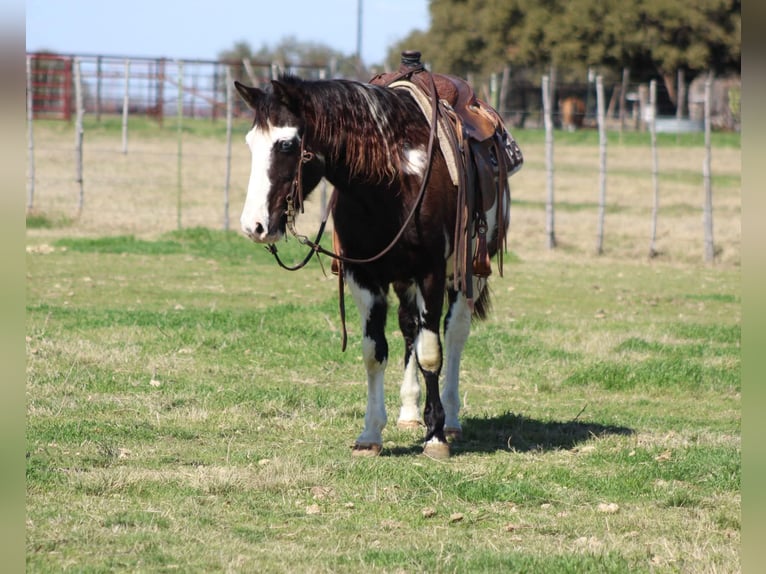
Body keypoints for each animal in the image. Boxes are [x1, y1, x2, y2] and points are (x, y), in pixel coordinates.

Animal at [234, 69, 519, 458]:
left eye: (287, 144)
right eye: (251, 143)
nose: (254, 226)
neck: (391, 180)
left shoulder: (431, 272)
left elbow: (431, 353)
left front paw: (435, 436)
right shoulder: (364, 275)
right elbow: (375, 352)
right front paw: (371, 433)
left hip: (468, 273)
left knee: (454, 333)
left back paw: (451, 419)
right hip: (404, 280)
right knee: (410, 329)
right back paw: (410, 412)